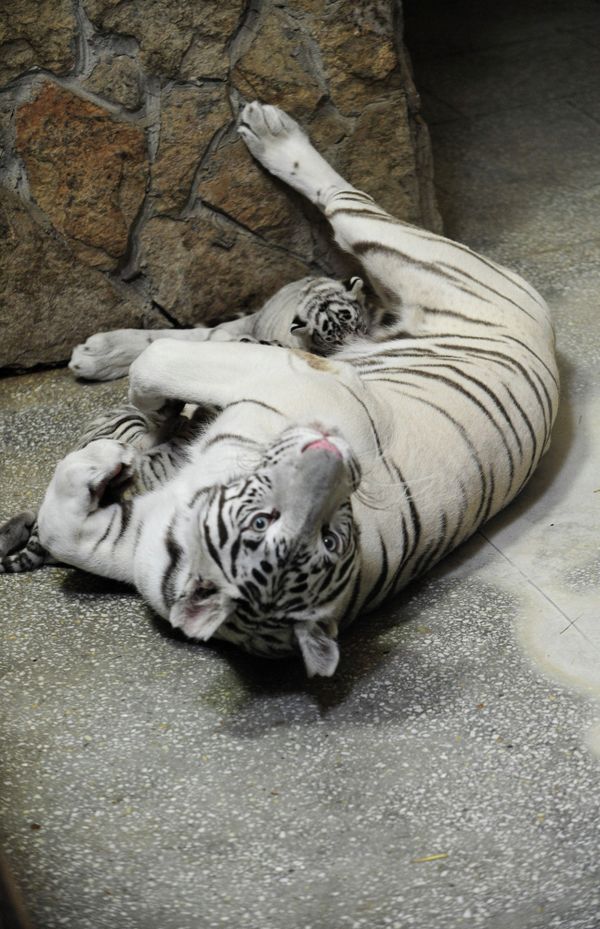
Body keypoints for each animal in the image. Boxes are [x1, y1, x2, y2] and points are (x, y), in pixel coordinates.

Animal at [11, 101, 559, 677]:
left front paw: (121, 443)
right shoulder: (141, 545)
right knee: (216, 326)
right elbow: (64, 530)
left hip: (412, 255)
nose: (337, 451)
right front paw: (114, 452)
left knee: (342, 200)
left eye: (330, 530)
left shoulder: (290, 373)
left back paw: (272, 131)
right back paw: (95, 352)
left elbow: (155, 367)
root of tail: (549, 333)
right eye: (262, 522)